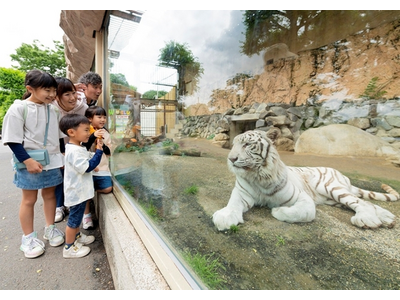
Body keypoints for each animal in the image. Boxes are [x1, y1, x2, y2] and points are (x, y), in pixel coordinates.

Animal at [211, 130, 398, 231]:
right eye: (233, 145)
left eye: (247, 145)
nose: (231, 159)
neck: (258, 176)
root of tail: (343, 176)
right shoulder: (241, 193)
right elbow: (233, 204)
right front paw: (225, 217)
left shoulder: (301, 197)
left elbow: (305, 212)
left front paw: (277, 210)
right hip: (332, 199)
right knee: (366, 202)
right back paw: (387, 218)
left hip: (330, 187)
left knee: (362, 203)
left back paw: (368, 220)